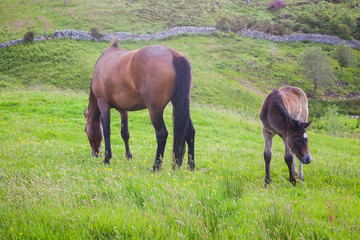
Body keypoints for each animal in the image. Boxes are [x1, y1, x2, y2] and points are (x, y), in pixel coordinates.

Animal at [84, 40, 195, 171]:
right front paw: (128, 156)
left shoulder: (103, 105)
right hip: (180, 107)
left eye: (85, 130)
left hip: (155, 110)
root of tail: (174, 55)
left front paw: (107, 159)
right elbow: (125, 133)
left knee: (162, 134)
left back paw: (156, 167)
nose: (95, 154)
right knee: (190, 132)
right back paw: (191, 167)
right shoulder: (123, 110)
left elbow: (106, 131)